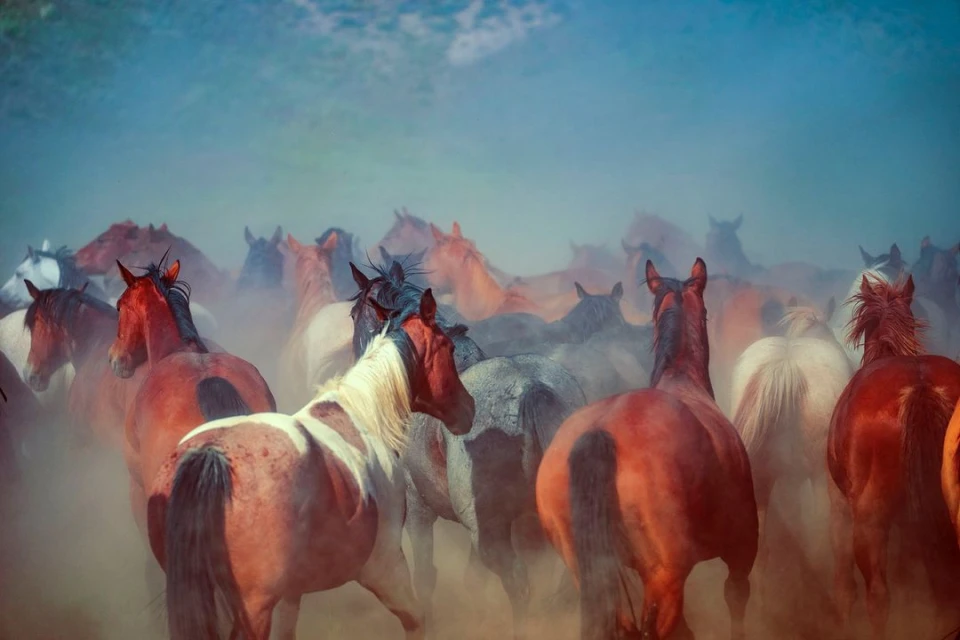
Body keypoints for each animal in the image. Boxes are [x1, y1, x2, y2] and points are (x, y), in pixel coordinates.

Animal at [147, 287, 475, 640]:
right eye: (449, 347)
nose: (468, 409)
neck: (362, 414)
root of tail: (211, 456)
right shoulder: (385, 564)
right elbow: (416, 619)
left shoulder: (292, 592)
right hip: (253, 608)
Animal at [349, 261, 585, 638]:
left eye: (354, 314)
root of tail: (531, 386)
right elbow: (472, 580)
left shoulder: (418, 510)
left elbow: (425, 577)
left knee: (519, 584)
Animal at [536, 258, 758, 640]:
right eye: (708, 312)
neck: (682, 378)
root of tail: (600, 432)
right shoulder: (741, 554)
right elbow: (736, 604)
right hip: (665, 579)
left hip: (591, 571)